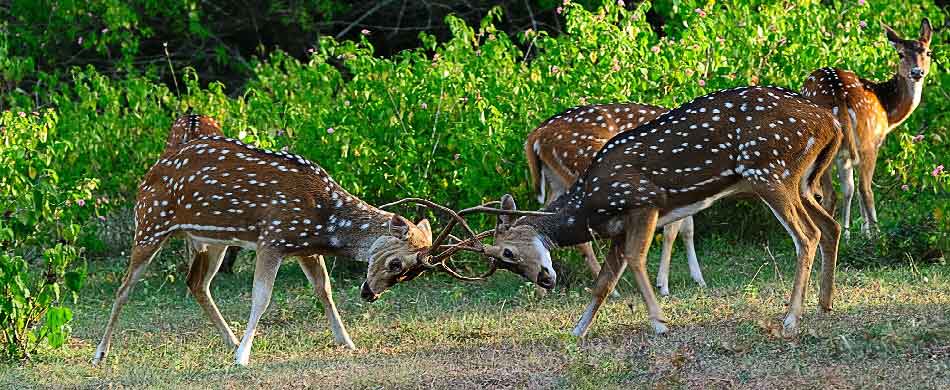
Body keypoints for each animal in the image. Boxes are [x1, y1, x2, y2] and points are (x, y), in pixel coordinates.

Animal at [90, 114, 450, 368]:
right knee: (124, 288)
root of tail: (151, 171)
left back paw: (230, 340)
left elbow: (324, 289)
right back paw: (100, 353)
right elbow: (261, 297)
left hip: (214, 238)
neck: (325, 219)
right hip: (150, 223)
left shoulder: (303, 246)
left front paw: (347, 342)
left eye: (412, 274)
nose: (369, 294)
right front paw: (243, 358)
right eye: (396, 263)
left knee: (196, 282)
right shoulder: (273, 237)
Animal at [528, 103, 708, 296]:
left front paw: (698, 279)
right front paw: (663, 286)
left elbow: (687, 229)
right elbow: (671, 232)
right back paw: (612, 290)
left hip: (557, 181)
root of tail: (536, 135)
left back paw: (541, 290)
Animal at [804, 19, 936, 238]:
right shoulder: (873, 142)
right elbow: (858, 189)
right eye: (900, 54)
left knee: (833, 192)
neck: (889, 112)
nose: (917, 72)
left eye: (927, 52)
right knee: (863, 189)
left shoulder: (844, 153)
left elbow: (848, 190)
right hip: (866, 142)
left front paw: (849, 234)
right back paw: (877, 234)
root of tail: (839, 95)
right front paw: (865, 233)